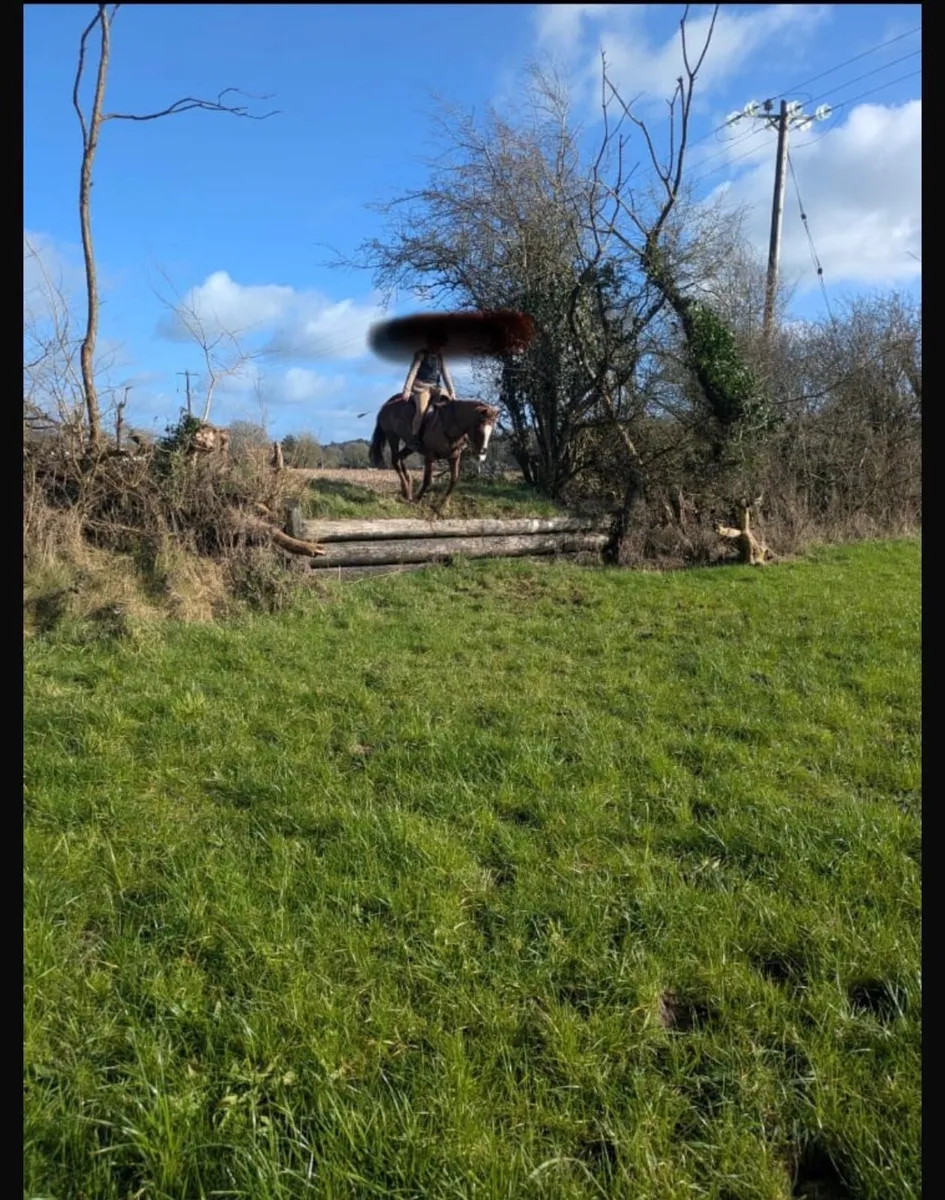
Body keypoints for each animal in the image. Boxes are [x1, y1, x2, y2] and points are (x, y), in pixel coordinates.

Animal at [368, 394, 499, 507]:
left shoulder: (454, 457)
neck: (449, 425)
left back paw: (408, 485)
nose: (481, 454)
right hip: (392, 436)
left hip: (410, 446)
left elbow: (454, 479)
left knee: (400, 458)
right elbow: (427, 480)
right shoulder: (430, 456)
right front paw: (417, 500)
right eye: (478, 428)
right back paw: (406, 490)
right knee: (395, 459)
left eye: (492, 428)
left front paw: (443, 504)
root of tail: (387, 404)